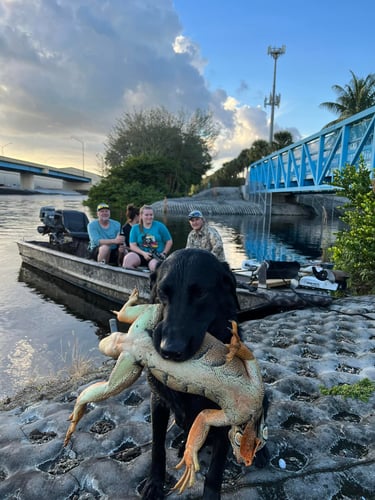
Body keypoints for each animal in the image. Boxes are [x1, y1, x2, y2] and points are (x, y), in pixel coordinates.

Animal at [142, 248, 270, 498]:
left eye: (201, 293)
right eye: (162, 292)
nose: (169, 350)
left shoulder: (226, 416)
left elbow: (215, 469)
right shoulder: (158, 401)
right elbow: (157, 448)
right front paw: (154, 483)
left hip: (263, 397)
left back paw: (260, 452)